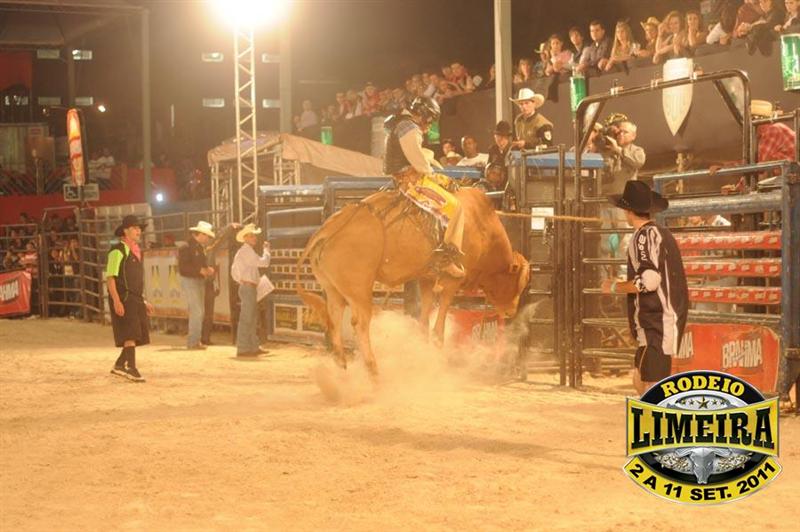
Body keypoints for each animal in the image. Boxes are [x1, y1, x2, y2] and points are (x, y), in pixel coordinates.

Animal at [296, 187, 530, 378]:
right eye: (519, 281)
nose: (511, 310)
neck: (481, 225)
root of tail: (327, 228)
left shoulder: (426, 279)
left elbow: (424, 322)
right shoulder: (451, 281)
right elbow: (438, 329)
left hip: (333, 289)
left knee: (334, 319)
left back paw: (341, 366)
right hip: (359, 290)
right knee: (360, 324)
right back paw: (372, 369)